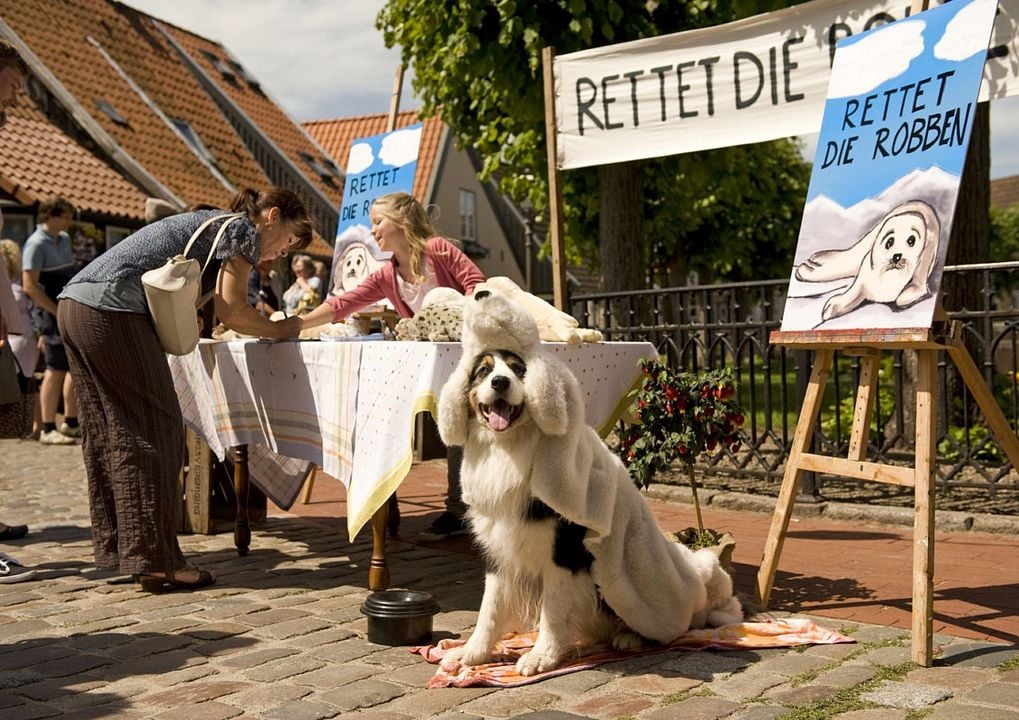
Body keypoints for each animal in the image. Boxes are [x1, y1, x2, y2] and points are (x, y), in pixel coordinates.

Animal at [438, 289, 741, 676]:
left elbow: (553, 608)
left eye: (520, 370)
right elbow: (489, 606)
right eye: (484, 370)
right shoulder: (497, 545)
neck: (509, 449)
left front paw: (541, 656)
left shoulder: (565, 548)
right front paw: (473, 652)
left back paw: (628, 637)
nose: (500, 383)